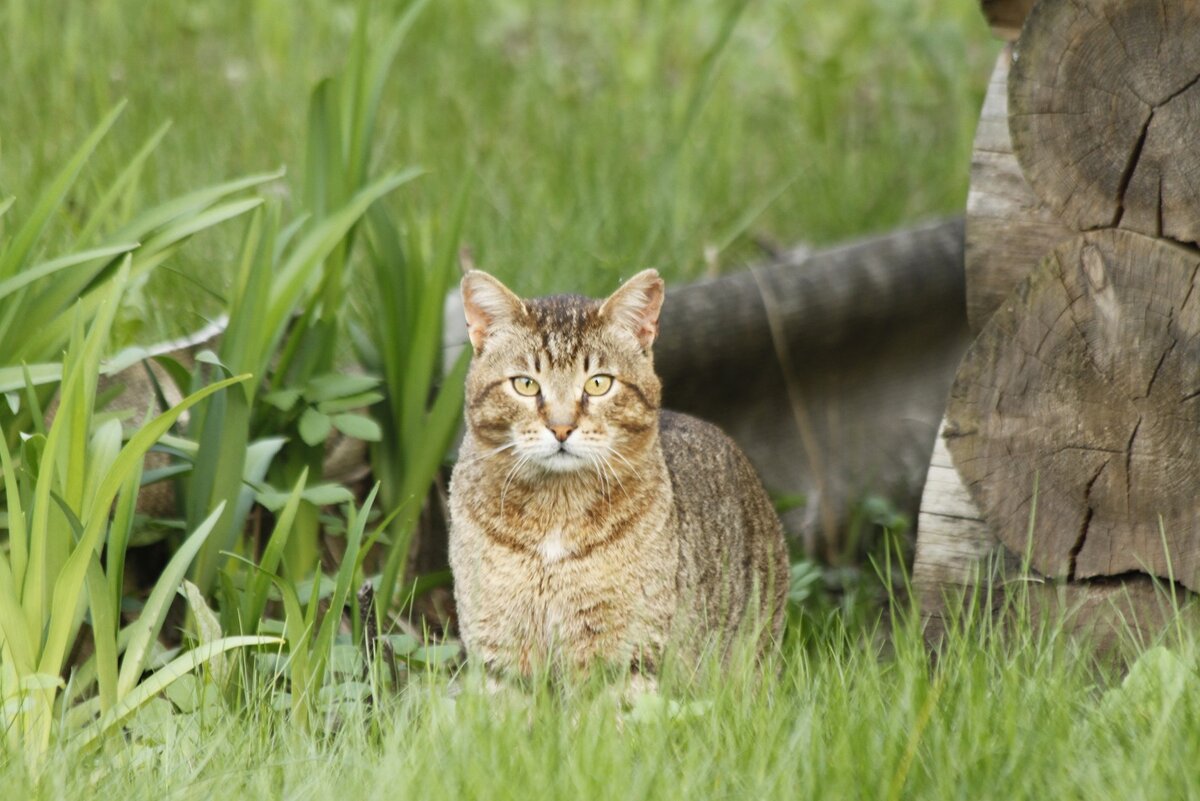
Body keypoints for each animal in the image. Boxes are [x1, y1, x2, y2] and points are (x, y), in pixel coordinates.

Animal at [448, 268, 787, 681]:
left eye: (599, 383)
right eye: (525, 384)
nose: (561, 428)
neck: (555, 511)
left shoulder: (626, 653)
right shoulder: (498, 654)